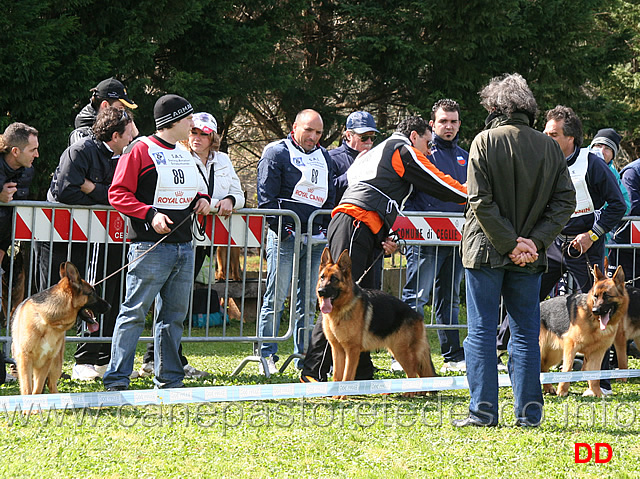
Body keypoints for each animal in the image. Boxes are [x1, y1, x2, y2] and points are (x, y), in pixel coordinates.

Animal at [11, 264, 109, 396]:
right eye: (92, 293)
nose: (109, 306)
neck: (49, 322)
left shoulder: (46, 362)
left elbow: (37, 391)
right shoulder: (25, 360)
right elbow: (28, 391)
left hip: (56, 365)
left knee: (52, 385)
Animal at [316, 248, 436, 398]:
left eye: (334, 279)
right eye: (322, 277)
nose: (321, 292)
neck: (342, 308)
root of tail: (417, 315)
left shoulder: (352, 350)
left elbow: (347, 375)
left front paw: (343, 396)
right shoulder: (337, 349)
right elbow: (337, 375)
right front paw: (336, 396)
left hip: (401, 352)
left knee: (413, 373)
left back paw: (410, 393)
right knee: (419, 373)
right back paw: (419, 391)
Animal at [536, 258, 628, 398]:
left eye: (607, 296)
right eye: (595, 296)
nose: (595, 311)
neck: (594, 322)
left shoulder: (597, 354)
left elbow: (595, 377)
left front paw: (598, 394)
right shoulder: (571, 347)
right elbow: (567, 369)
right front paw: (562, 392)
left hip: (554, 354)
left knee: (543, 368)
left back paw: (548, 388)